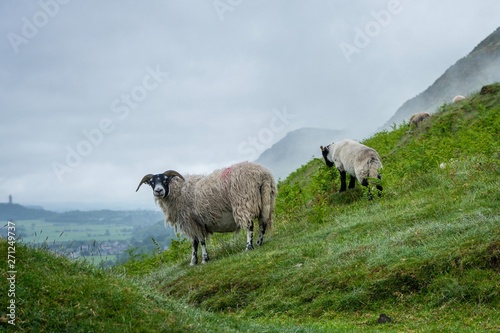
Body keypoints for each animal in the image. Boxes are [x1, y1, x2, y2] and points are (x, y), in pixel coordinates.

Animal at [136, 161, 278, 264]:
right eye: (151, 183)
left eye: (166, 180)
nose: (158, 191)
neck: (179, 191)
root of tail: (263, 174)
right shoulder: (194, 223)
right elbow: (195, 242)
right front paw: (194, 261)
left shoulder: (191, 221)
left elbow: (199, 241)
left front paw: (202, 259)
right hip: (266, 200)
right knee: (263, 223)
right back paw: (259, 243)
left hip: (243, 201)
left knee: (249, 225)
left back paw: (249, 247)